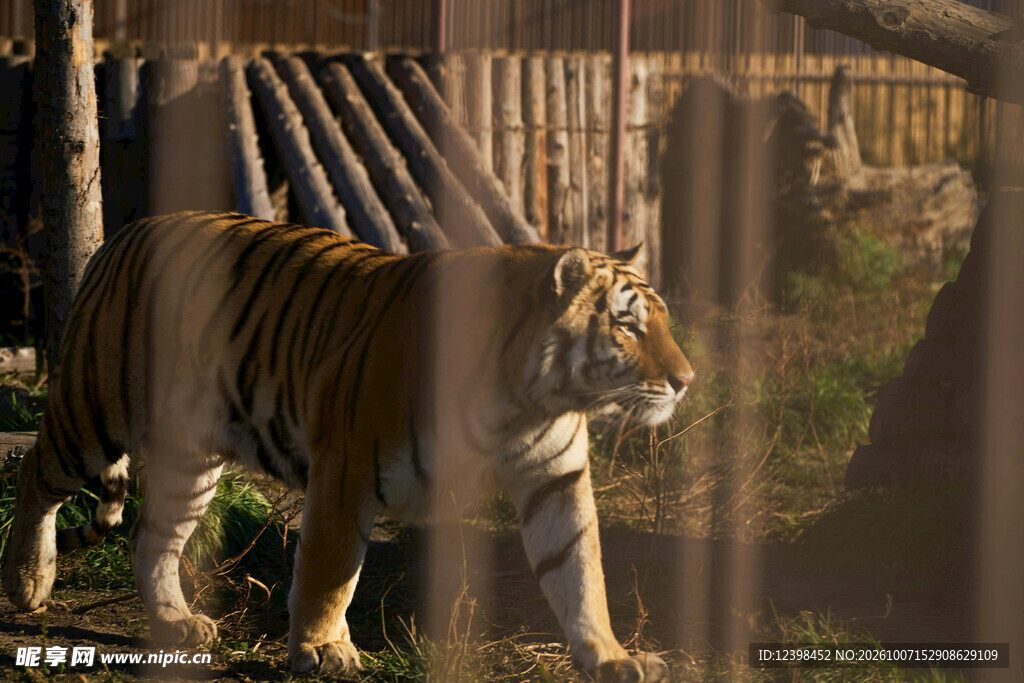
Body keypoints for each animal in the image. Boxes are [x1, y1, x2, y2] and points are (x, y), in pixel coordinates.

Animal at [3, 211, 693, 681]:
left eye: (662, 320)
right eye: (627, 326)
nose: (687, 380)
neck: (530, 400)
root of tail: (129, 229)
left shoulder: (556, 479)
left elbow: (579, 571)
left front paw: (612, 657)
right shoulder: (348, 465)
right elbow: (332, 569)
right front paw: (321, 647)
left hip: (191, 459)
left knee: (153, 538)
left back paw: (176, 623)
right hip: (96, 409)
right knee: (36, 473)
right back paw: (28, 582)